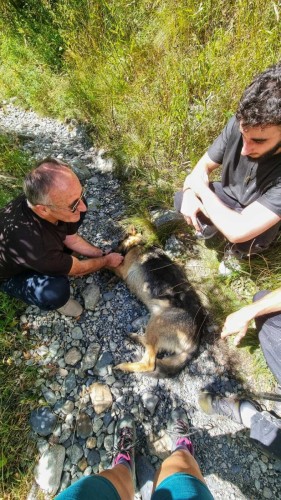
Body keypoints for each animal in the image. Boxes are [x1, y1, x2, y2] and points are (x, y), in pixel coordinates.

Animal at [111, 236, 206, 376]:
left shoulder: (123, 269)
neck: (141, 244)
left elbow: (110, 265)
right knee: (150, 346)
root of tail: (195, 341)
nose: (110, 251)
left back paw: (124, 366)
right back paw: (136, 337)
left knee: (149, 363)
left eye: (118, 242)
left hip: (157, 322)